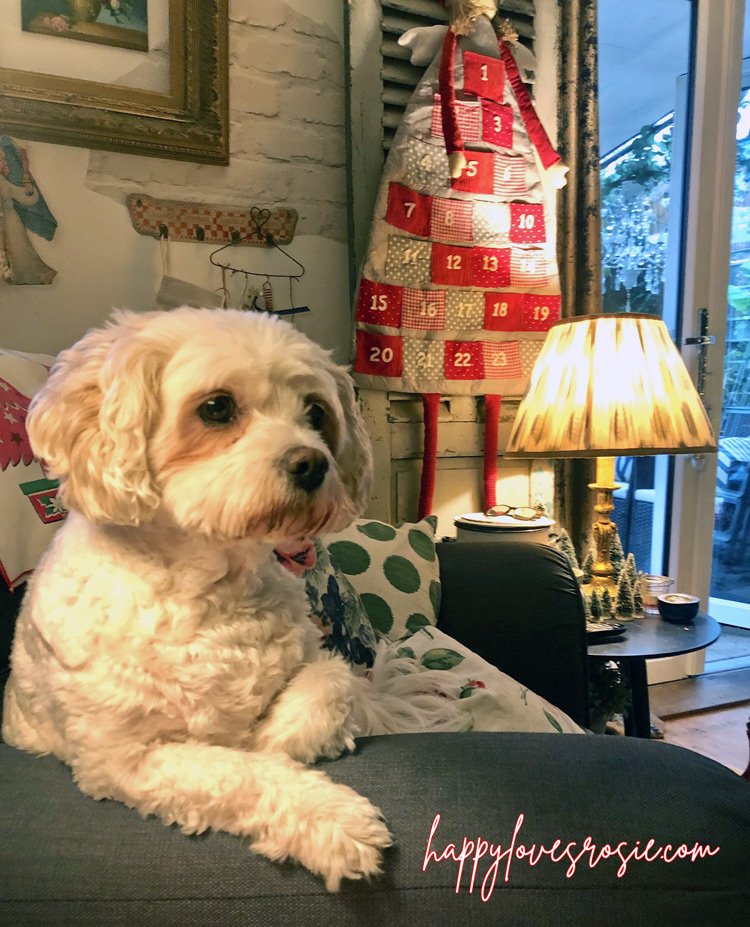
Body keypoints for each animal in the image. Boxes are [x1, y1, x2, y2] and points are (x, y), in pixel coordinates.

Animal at [2, 310, 394, 892]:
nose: (312, 464)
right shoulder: (126, 759)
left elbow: (329, 685)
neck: (211, 593)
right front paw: (328, 819)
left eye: (316, 413)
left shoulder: (316, 657)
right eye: (216, 408)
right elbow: (236, 773)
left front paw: (275, 738)